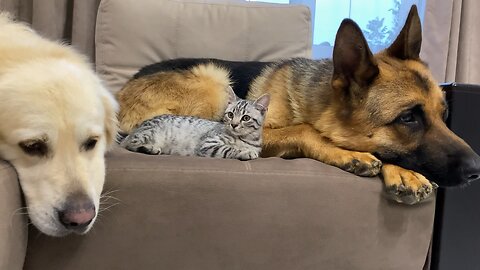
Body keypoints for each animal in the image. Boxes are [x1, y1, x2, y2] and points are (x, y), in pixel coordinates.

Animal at [119, 87, 270, 160]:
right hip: (151, 134)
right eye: (230, 115)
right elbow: (229, 149)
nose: (234, 124)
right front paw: (245, 152)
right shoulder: (208, 144)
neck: (245, 139)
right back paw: (151, 148)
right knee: (130, 144)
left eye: (245, 118)